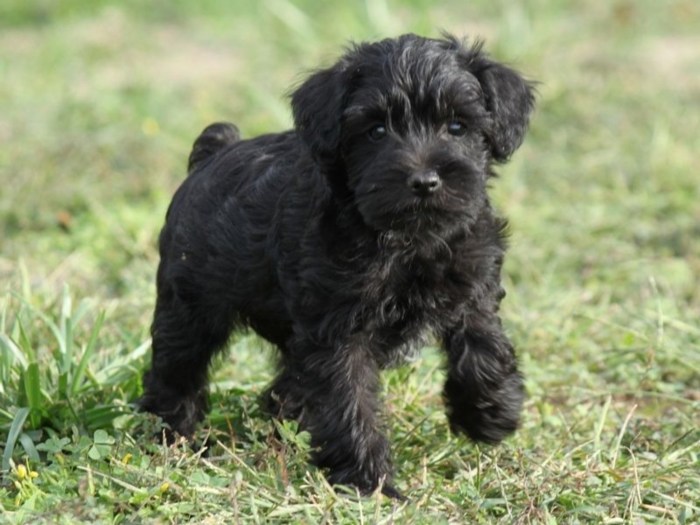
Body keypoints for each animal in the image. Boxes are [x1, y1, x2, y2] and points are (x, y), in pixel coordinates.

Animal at [142, 32, 536, 496]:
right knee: (177, 367)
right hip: (190, 306)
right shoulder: (339, 331)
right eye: (376, 130)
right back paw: (170, 432)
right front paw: (370, 483)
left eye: (458, 126)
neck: (409, 242)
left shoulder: (474, 284)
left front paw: (491, 414)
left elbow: (484, 347)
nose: (425, 181)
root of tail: (213, 153)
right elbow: (350, 400)